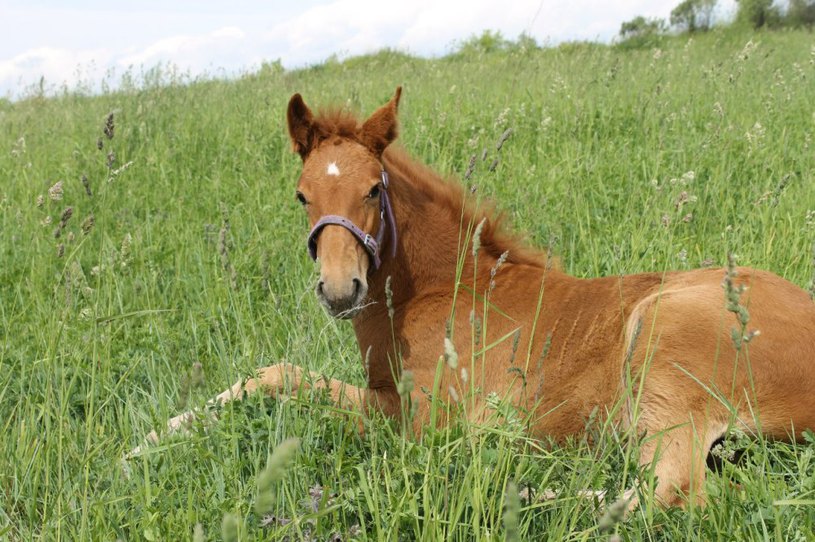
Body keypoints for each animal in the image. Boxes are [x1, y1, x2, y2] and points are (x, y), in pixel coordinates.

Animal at [134, 86, 815, 510]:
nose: (340, 289)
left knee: (670, 494)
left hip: (663, 353)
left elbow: (286, 376)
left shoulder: (418, 418)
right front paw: (153, 436)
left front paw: (143, 443)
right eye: (302, 194)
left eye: (375, 189)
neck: (437, 292)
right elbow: (271, 374)